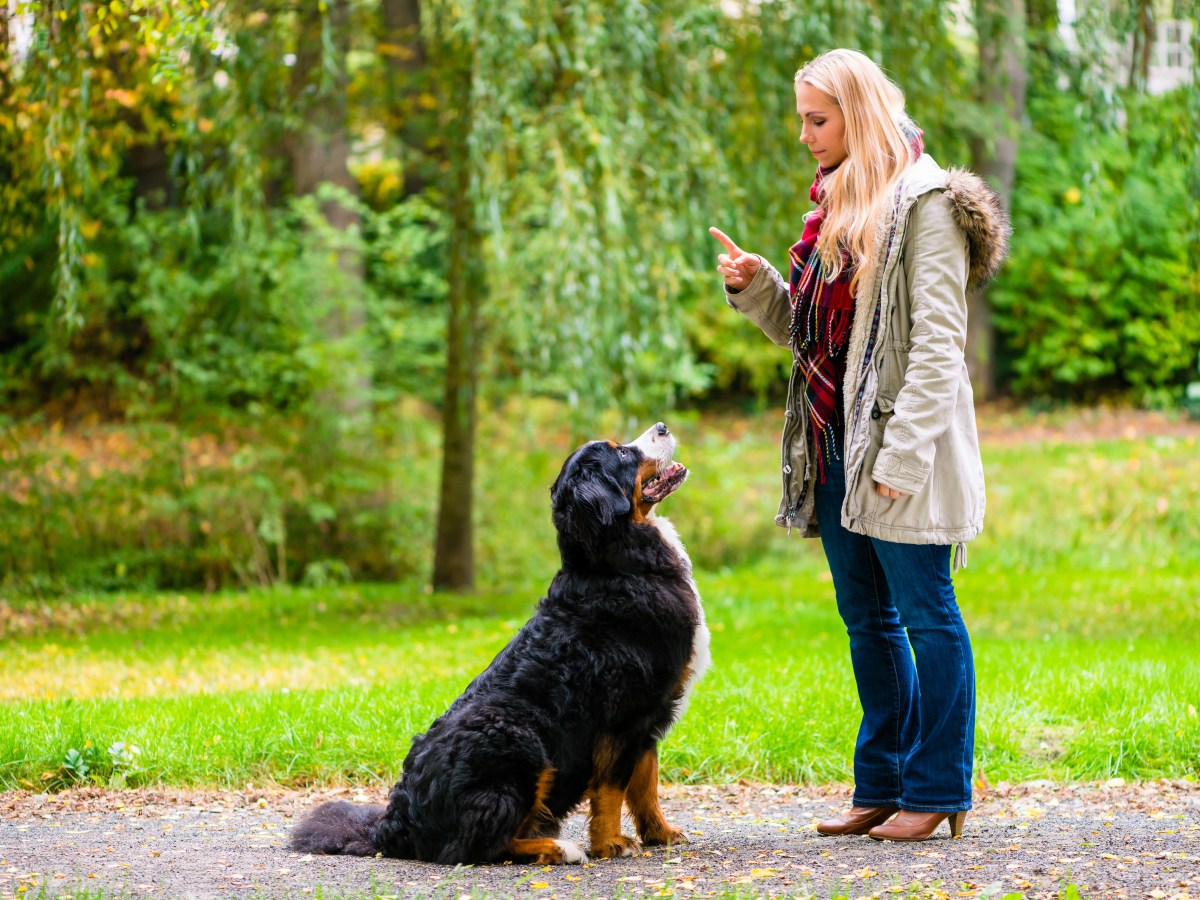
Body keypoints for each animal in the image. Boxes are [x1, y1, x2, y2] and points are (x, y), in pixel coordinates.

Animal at [292, 422, 710, 868]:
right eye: (623, 454)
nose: (662, 426)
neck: (617, 563)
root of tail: (395, 824)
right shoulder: (625, 715)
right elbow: (613, 789)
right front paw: (611, 843)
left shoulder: (650, 715)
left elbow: (645, 784)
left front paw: (660, 833)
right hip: (518, 737)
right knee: (477, 846)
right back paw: (559, 848)